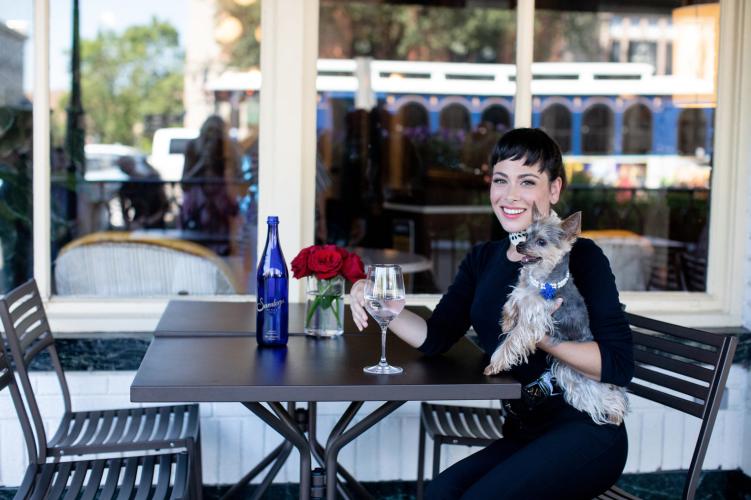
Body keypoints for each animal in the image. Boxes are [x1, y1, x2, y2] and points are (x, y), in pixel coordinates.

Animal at [482, 208, 628, 426]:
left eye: (541, 241)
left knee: (604, 395)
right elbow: (512, 302)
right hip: (566, 373)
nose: (520, 245)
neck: (540, 278)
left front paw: (494, 365)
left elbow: (511, 341)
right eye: (526, 235)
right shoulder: (521, 293)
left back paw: (617, 414)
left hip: (577, 374)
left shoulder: (534, 319)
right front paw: (507, 321)